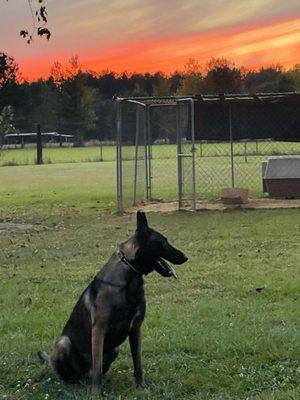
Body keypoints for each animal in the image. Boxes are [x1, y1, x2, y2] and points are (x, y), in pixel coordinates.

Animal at [38, 212, 188, 394]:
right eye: (163, 241)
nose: (185, 257)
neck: (129, 271)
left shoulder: (136, 329)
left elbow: (138, 363)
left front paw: (141, 386)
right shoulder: (98, 331)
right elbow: (97, 371)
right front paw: (96, 395)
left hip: (114, 349)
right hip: (63, 343)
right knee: (73, 375)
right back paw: (73, 386)